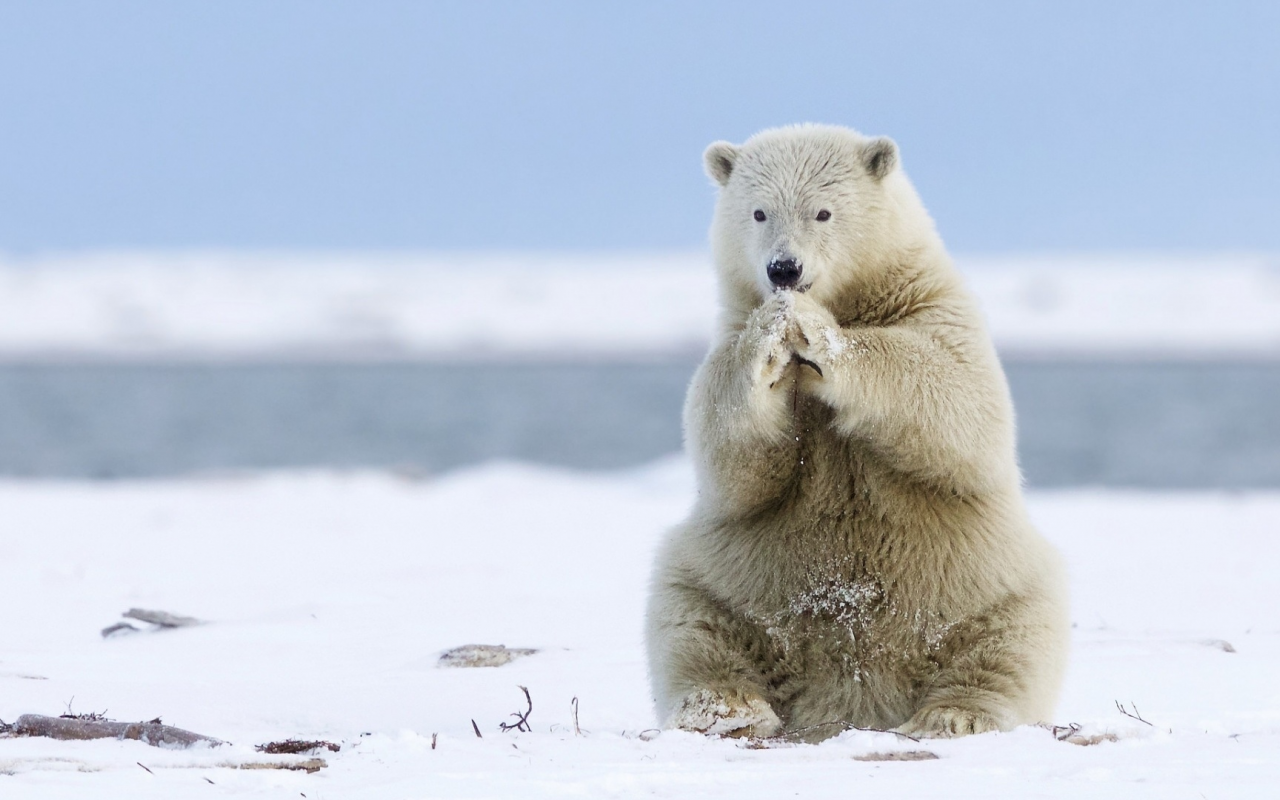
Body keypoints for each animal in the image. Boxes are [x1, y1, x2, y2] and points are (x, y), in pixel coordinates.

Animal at [645, 121, 1064, 737]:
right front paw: (772, 335)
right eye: (758, 211)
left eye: (823, 212)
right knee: (692, 620)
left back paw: (953, 713)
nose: (784, 269)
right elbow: (729, 453)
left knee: (1011, 637)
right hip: (730, 576)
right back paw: (726, 707)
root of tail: (850, 700)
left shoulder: (934, 309)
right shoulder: (726, 334)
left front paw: (816, 332)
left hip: (984, 579)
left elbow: (957, 397)